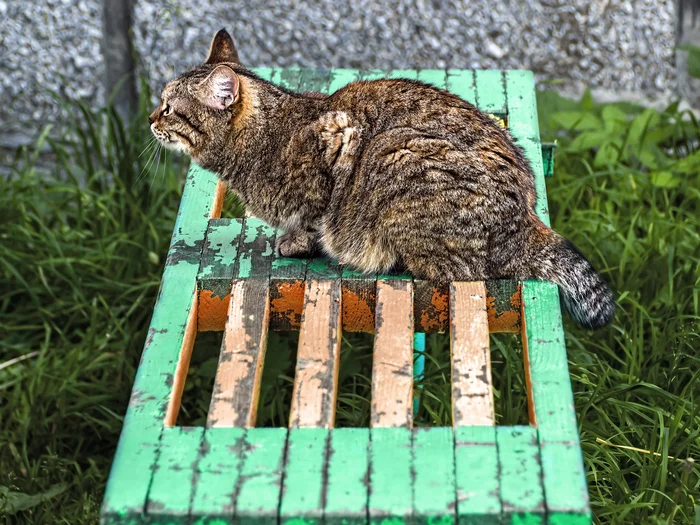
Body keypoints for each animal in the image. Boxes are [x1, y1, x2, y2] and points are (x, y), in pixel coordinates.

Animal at [150, 28, 616, 328]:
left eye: (169, 108)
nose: (152, 118)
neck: (264, 138)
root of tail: (526, 221)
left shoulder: (338, 144)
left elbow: (312, 221)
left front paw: (296, 242)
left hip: (391, 151)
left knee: (457, 270)